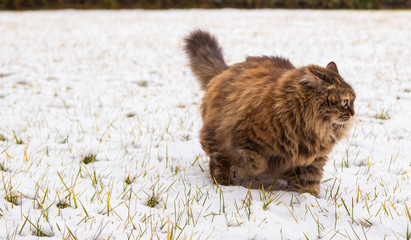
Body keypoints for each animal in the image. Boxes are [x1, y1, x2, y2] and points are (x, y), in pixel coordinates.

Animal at [184, 29, 358, 195]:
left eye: (353, 100)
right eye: (345, 102)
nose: (353, 113)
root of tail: (225, 71)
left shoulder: (313, 160)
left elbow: (309, 184)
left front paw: (308, 199)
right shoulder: (244, 136)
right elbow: (256, 164)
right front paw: (242, 172)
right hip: (216, 136)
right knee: (218, 161)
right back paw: (224, 182)